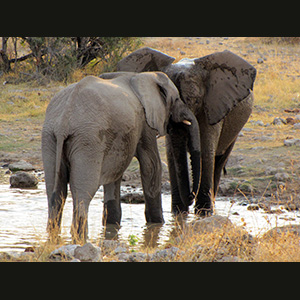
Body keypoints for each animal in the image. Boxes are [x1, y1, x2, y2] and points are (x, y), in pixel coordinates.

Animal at [41, 71, 202, 241]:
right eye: (176, 99)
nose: (191, 197)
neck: (141, 76)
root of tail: (63, 122)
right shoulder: (145, 122)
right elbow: (151, 165)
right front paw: (158, 224)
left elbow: (114, 174)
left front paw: (112, 226)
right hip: (88, 139)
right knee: (83, 192)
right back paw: (79, 237)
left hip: (50, 138)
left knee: (56, 191)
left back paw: (53, 235)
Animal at [118, 47, 256, 214]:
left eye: (195, 101)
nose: (190, 196)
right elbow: (172, 153)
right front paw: (178, 212)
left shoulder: (212, 105)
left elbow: (206, 151)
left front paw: (203, 213)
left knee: (219, 161)